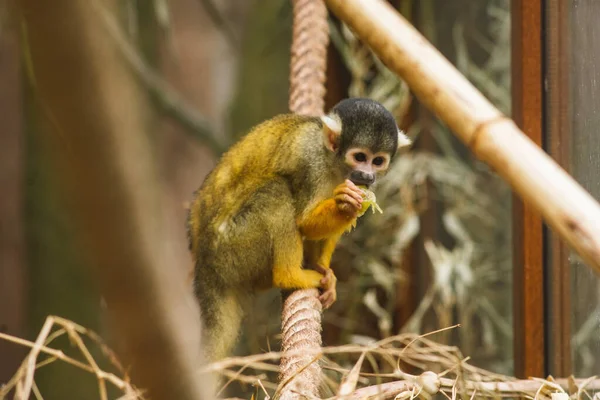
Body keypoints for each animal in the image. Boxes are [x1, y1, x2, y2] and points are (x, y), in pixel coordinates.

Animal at [188, 97, 412, 362]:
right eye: (360, 156)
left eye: (378, 161)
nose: (367, 176)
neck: (332, 161)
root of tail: (204, 266)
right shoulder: (310, 163)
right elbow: (304, 222)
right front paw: (345, 204)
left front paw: (323, 268)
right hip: (231, 248)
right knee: (277, 191)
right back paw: (290, 275)